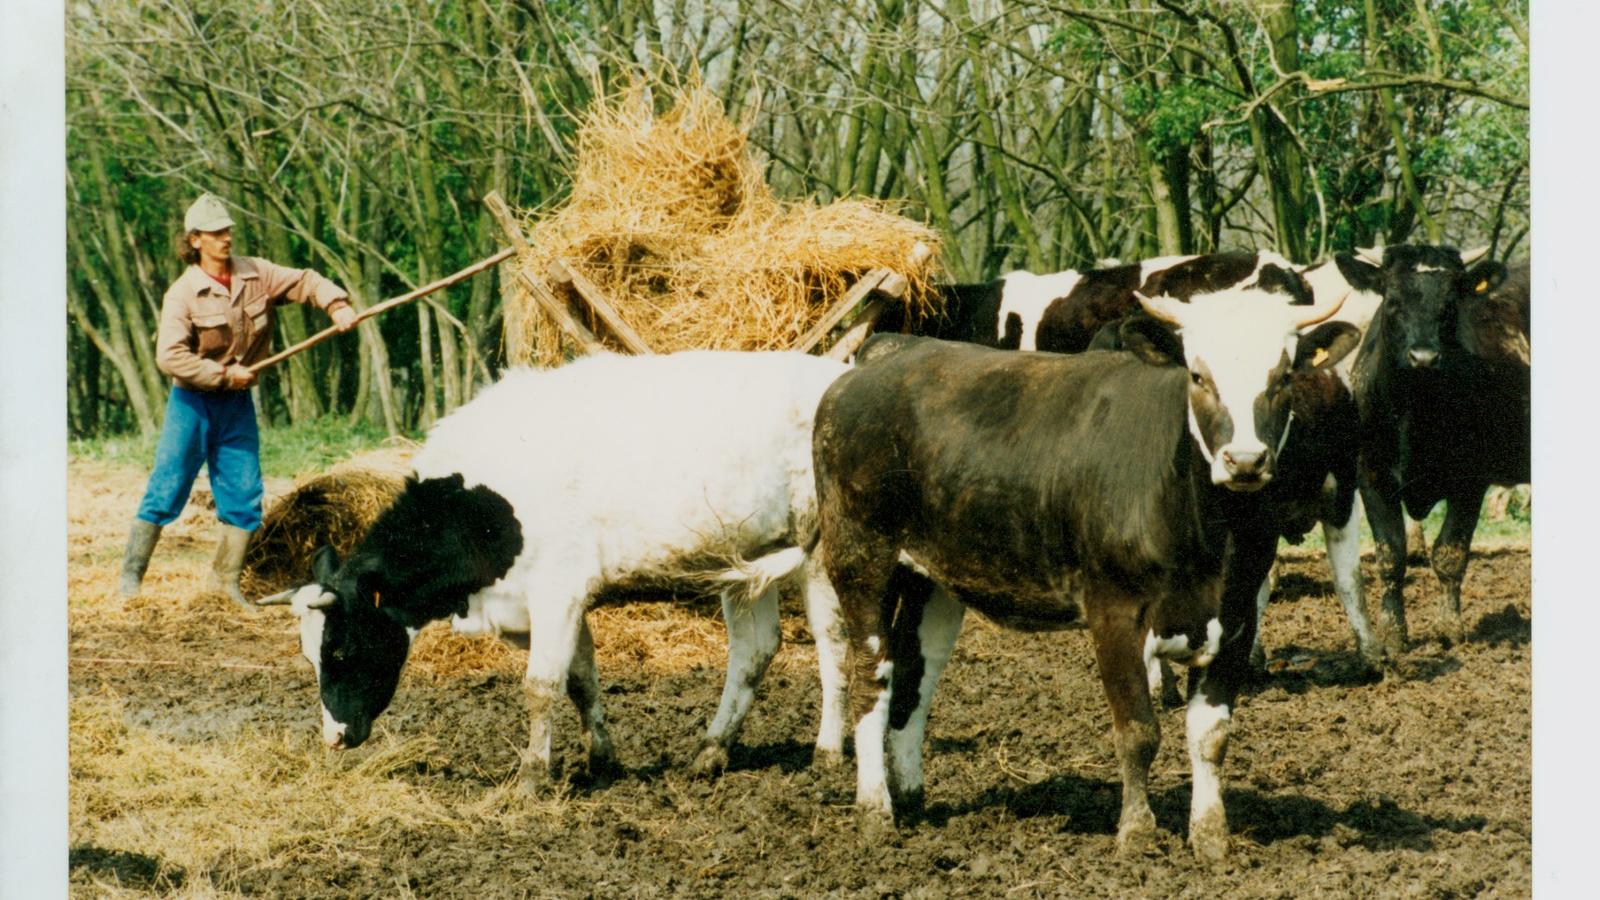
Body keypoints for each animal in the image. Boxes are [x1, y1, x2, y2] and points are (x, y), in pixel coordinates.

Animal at [264, 350, 857, 784]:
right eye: (309, 655)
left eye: (341, 650)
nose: (333, 737)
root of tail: (840, 370)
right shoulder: (541, 605)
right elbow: (580, 679)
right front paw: (602, 759)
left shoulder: (557, 590)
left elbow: (540, 685)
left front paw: (531, 775)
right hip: (745, 558)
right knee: (753, 651)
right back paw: (712, 751)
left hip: (822, 553)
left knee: (834, 647)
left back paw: (827, 752)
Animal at [819, 283, 1356, 858]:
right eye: (1197, 375)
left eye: (1283, 377)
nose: (1246, 460)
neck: (1209, 534)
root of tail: (890, 352)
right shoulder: (1115, 612)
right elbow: (1139, 731)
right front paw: (1137, 833)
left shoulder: (1235, 618)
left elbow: (1211, 736)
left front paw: (1211, 837)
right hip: (860, 558)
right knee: (871, 675)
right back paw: (875, 810)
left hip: (933, 577)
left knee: (914, 675)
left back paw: (911, 797)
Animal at [1337, 245, 1523, 646]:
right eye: (1392, 300)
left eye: (1451, 303)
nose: (1423, 357)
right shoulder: (1371, 475)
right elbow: (1390, 555)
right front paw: (1393, 633)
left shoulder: (1471, 480)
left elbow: (1450, 553)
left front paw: (1449, 627)